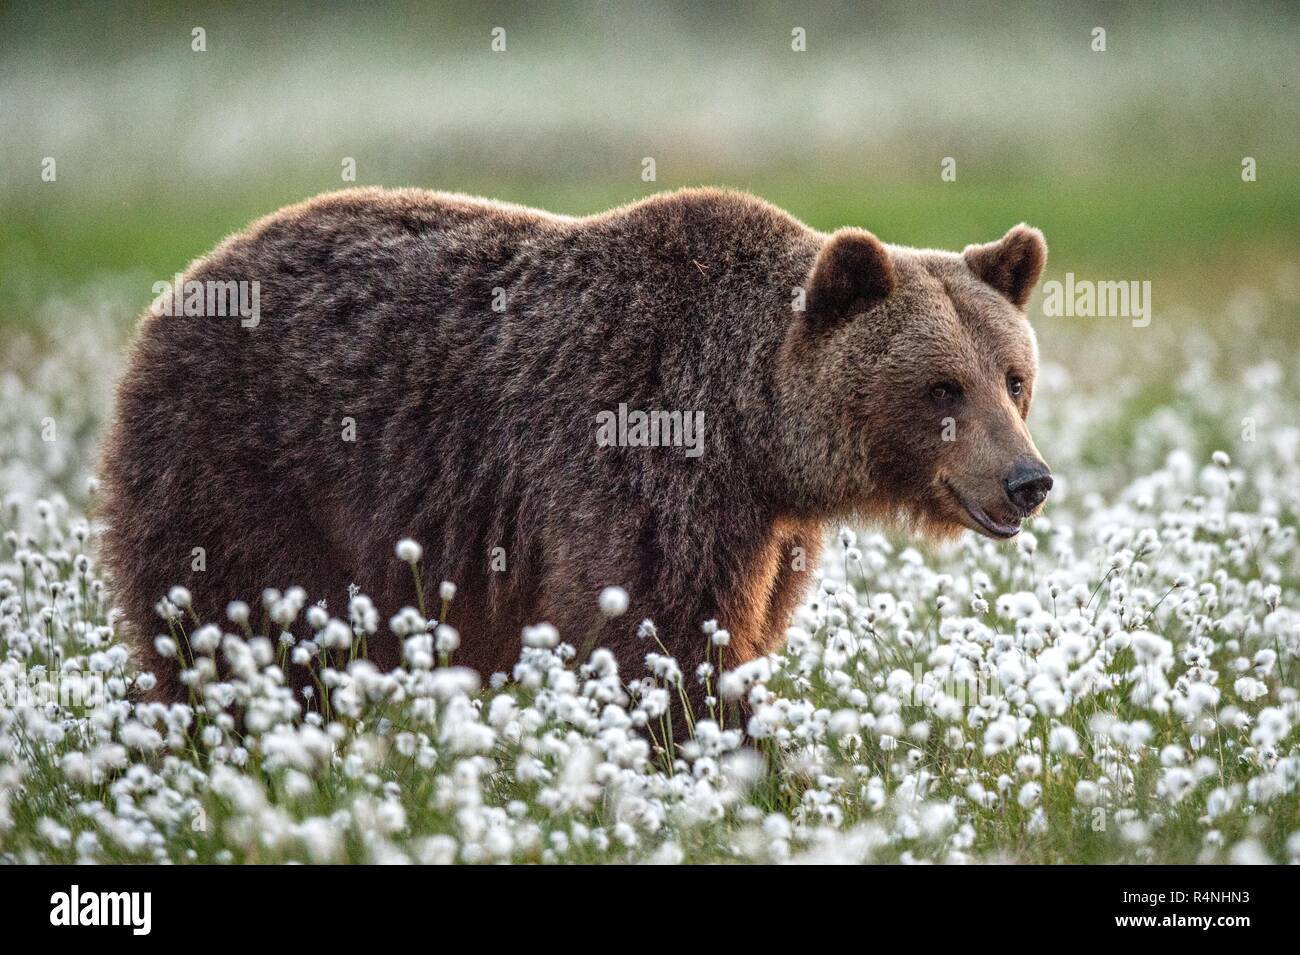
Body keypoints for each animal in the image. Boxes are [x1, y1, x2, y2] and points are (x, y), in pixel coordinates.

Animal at [97, 187, 1052, 707]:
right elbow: (658, 632)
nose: (1027, 479)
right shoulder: (649, 459)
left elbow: (733, 630)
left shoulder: (765, 529)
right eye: (942, 387)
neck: (756, 438)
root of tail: (181, 289)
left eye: (1013, 378)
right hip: (244, 461)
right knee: (240, 619)